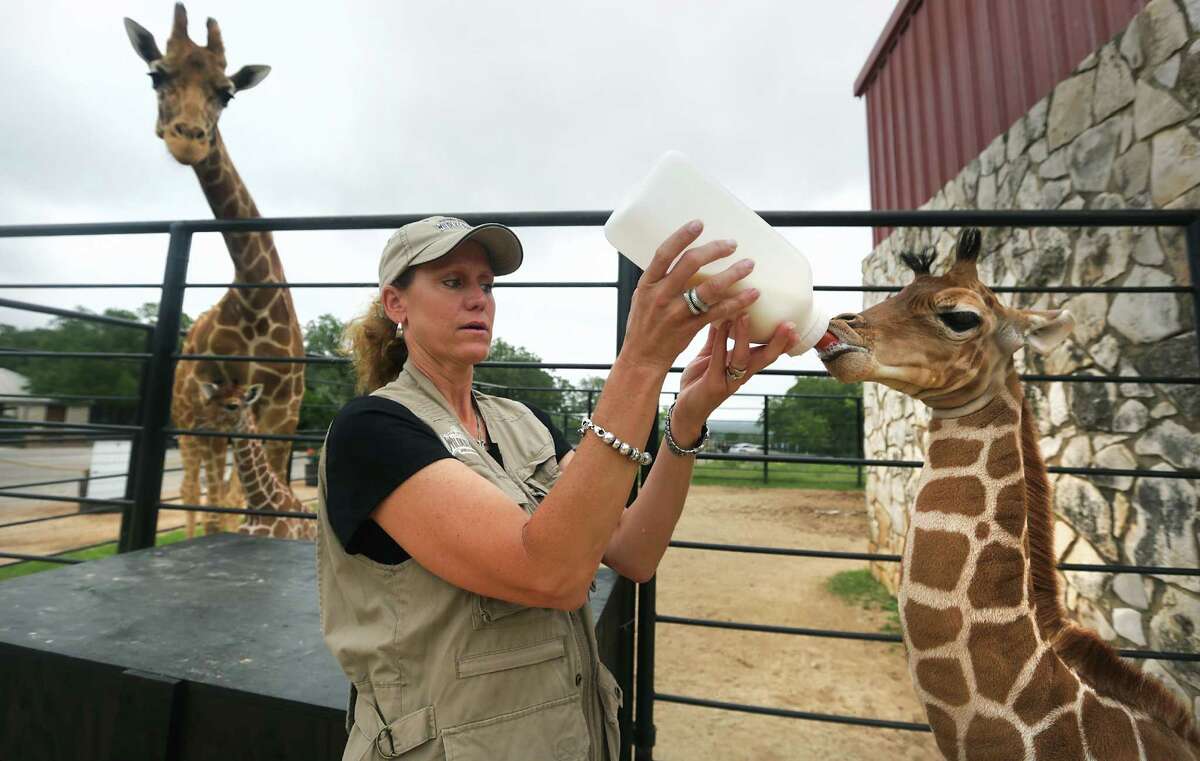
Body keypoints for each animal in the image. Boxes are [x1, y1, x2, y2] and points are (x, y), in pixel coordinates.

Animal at [124, 7, 304, 540]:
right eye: (156, 75)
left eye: (227, 92)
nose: (189, 139)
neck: (256, 296)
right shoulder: (214, 413)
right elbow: (219, 504)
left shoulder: (281, 413)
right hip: (188, 422)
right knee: (195, 493)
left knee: (213, 492)